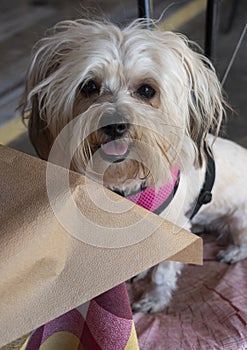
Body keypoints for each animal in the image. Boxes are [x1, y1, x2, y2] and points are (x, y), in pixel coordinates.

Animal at [22, 17, 247, 314]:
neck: (127, 185)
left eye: (147, 90)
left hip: (241, 218)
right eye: (89, 87)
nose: (114, 125)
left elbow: (162, 274)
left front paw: (154, 298)